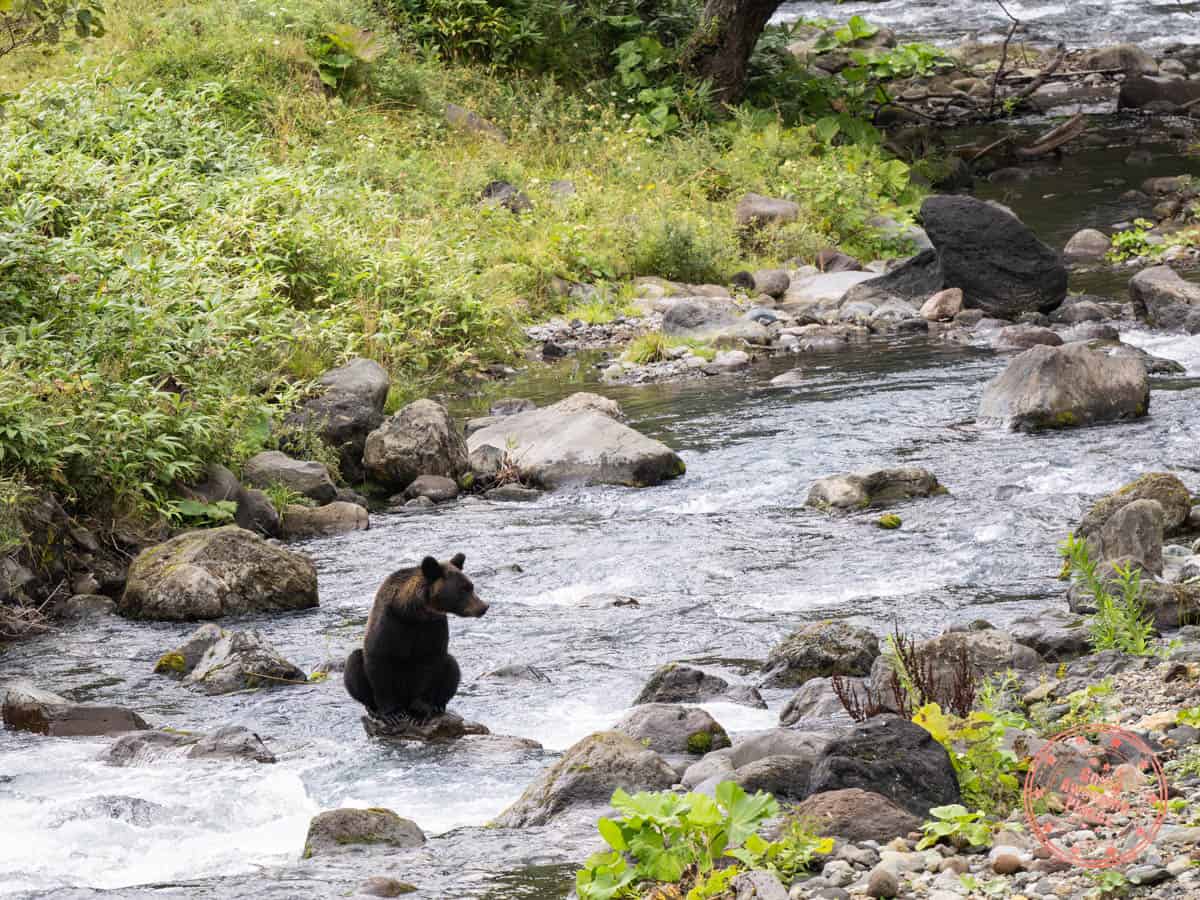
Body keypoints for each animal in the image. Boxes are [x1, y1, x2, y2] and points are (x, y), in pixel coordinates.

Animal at [344, 552, 488, 723]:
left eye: (471, 586)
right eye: (463, 589)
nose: (483, 607)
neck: (411, 613)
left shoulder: (432, 628)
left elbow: (430, 665)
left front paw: (420, 711)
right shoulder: (390, 625)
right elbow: (379, 663)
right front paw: (391, 713)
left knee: (452, 666)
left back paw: (438, 706)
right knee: (354, 663)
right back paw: (373, 709)